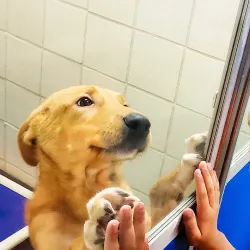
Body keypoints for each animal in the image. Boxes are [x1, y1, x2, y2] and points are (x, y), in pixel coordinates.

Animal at [17, 86, 205, 250]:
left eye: (125, 104)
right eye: (84, 101)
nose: (142, 122)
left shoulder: (152, 223)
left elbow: (159, 192)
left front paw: (191, 158)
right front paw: (104, 223)